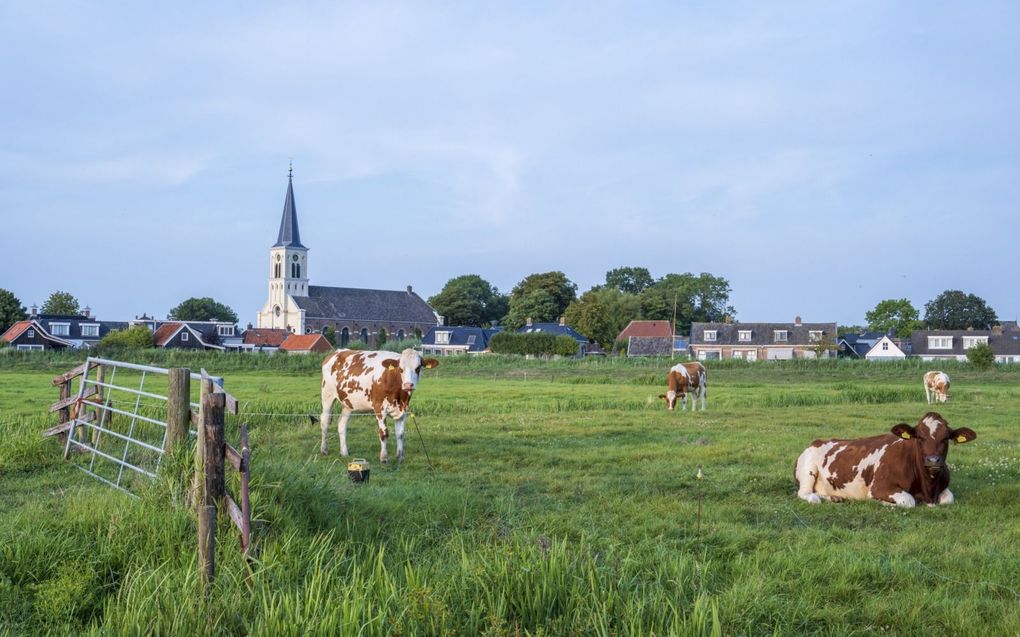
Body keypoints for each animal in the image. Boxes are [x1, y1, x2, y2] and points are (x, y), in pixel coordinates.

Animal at [791, 411, 975, 507]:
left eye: (945, 438)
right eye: (920, 437)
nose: (933, 460)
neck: (928, 488)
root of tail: (817, 441)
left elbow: (949, 499)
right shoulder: (879, 487)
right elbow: (908, 500)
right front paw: (884, 503)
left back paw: (835, 497)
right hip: (808, 470)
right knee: (806, 493)